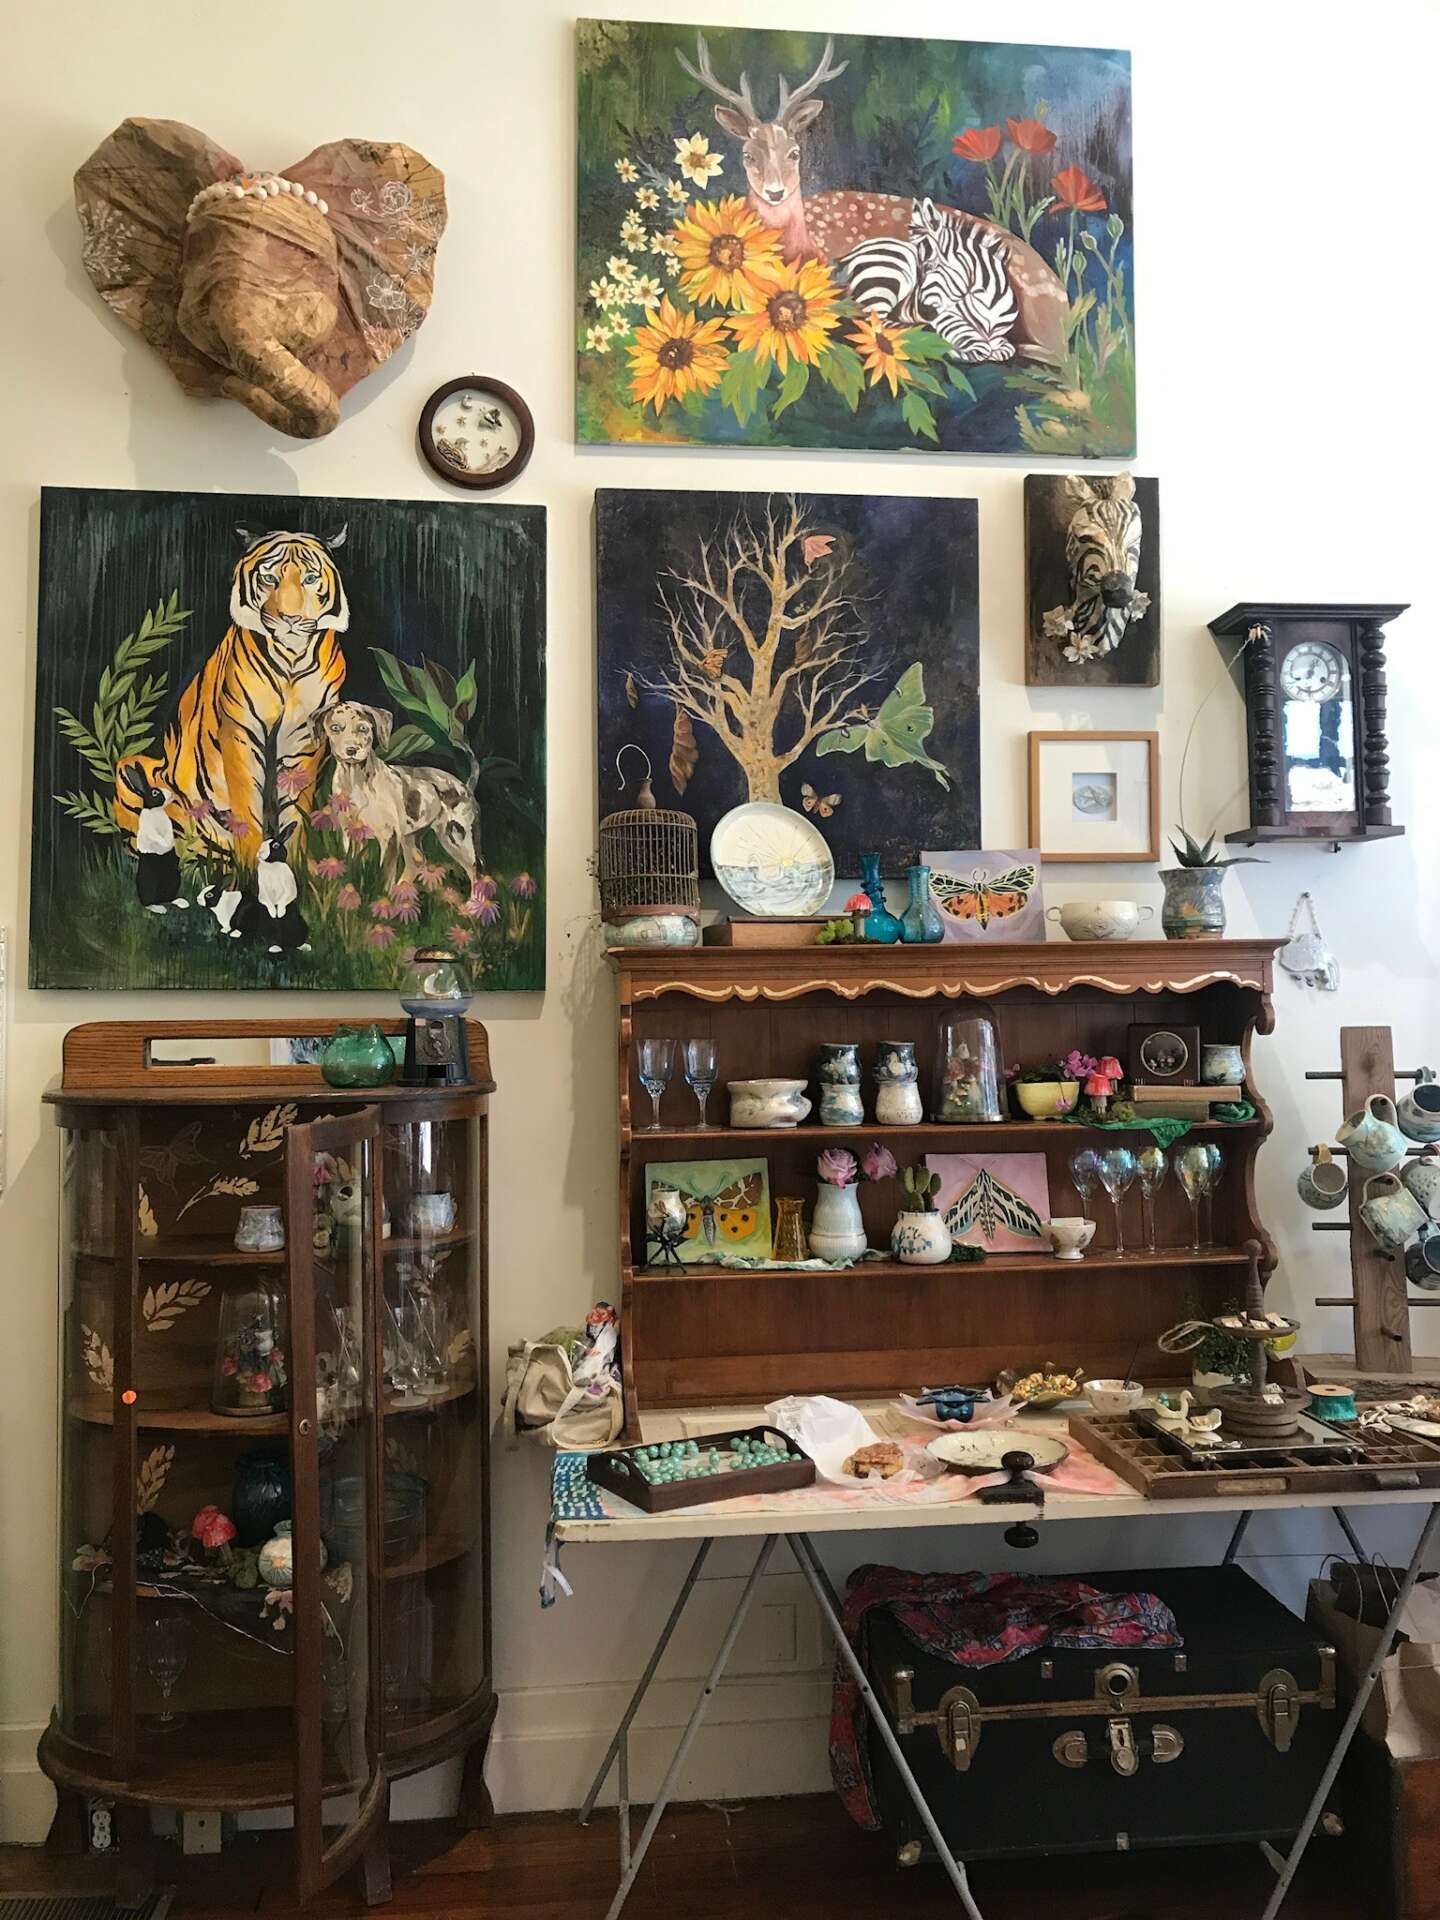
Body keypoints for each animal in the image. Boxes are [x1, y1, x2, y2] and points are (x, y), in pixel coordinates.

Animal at [115, 526, 350, 863]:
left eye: (309, 578)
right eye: (269, 579)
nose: (290, 619)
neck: (292, 658)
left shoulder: (306, 739)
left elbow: (296, 810)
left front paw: (292, 862)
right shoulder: (241, 732)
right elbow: (247, 806)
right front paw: (251, 864)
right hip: (132, 769)